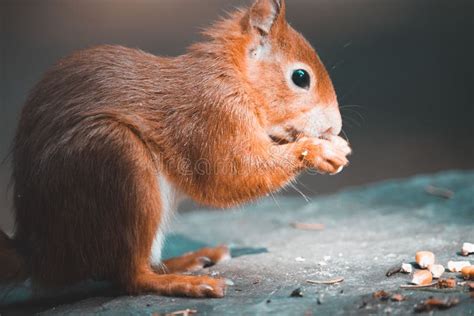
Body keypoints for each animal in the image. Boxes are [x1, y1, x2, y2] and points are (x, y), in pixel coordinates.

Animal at [0, 0, 348, 298]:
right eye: (300, 77)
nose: (335, 126)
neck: (234, 77)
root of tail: (39, 253)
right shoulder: (211, 115)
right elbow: (231, 173)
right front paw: (317, 150)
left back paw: (189, 260)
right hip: (116, 160)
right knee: (129, 277)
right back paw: (183, 282)